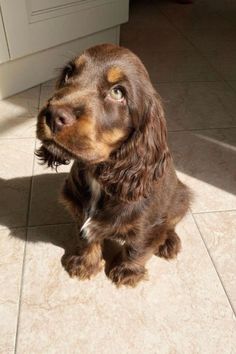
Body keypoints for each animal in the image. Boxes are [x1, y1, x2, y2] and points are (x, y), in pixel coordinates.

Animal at [37, 43, 192, 288]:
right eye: (69, 73)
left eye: (118, 92)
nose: (53, 115)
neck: (98, 175)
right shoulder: (78, 210)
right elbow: (86, 238)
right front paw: (85, 264)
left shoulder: (146, 225)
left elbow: (138, 248)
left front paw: (127, 272)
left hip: (182, 197)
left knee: (170, 224)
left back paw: (169, 242)